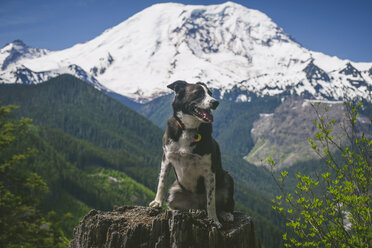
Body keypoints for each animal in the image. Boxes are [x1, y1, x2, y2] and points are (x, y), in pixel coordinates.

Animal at [149, 80, 234, 228]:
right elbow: (162, 182)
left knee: (220, 205)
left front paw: (214, 220)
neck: (188, 129)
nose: (215, 102)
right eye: (198, 93)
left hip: (228, 179)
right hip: (174, 191)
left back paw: (225, 214)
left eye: (210, 93)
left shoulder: (209, 171)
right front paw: (158, 202)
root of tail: (197, 204)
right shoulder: (166, 158)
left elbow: (211, 201)